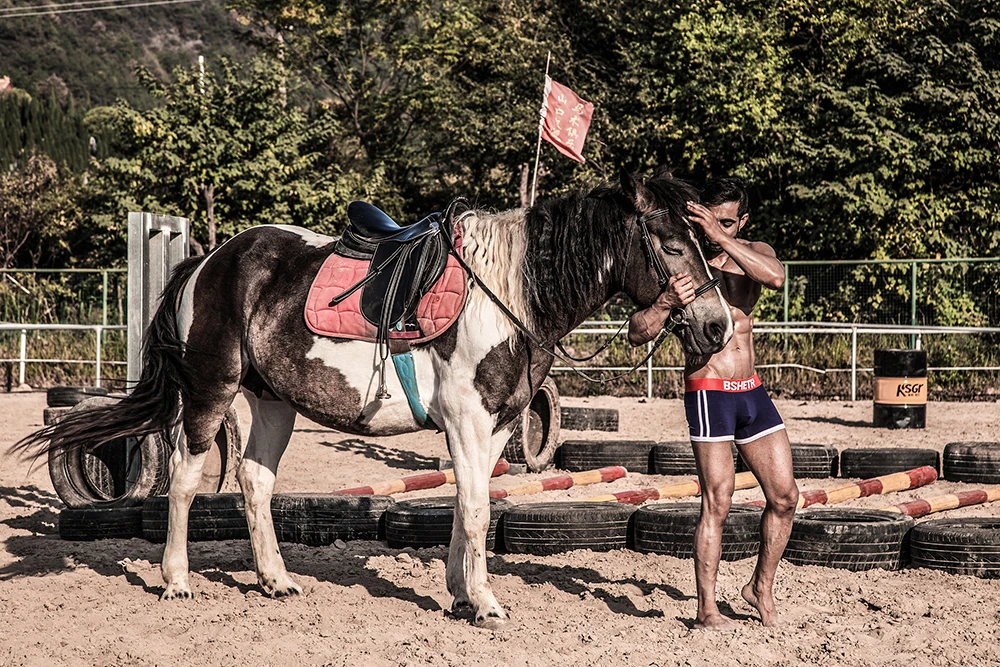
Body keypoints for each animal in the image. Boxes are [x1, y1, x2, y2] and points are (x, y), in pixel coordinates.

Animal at [19, 167, 732, 628]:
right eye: (672, 245)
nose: (717, 326)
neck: (510, 292)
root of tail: (210, 260)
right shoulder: (467, 420)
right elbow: (477, 511)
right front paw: (485, 603)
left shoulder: (496, 426)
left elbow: (467, 506)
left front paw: (460, 593)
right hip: (210, 391)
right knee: (185, 476)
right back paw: (176, 581)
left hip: (274, 400)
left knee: (254, 479)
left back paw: (275, 579)